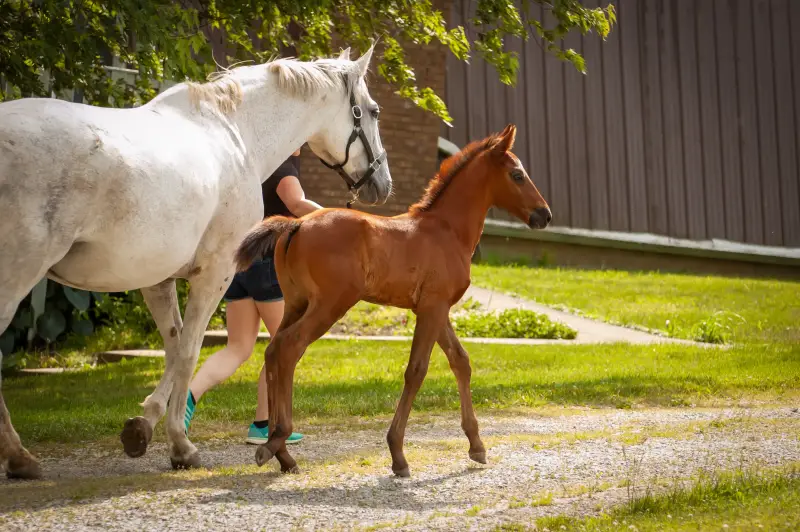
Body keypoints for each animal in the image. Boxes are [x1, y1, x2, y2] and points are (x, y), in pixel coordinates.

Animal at [0, 46, 391, 479]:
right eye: (373, 111)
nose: (383, 184)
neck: (236, 132)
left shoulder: (156, 279)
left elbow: (173, 347)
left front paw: (143, 426)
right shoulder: (215, 274)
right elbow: (190, 350)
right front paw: (181, 445)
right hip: (15, 278)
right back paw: (19, 457)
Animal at [234, 124, 551, 477]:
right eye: (517, 175)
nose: (545, 215)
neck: (446, 230)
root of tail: (297, 224)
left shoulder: (436, 309)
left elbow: (461, 361)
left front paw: (477, 446)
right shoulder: (432, 308)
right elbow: (417, 370)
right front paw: (398, 454)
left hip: (295, 303)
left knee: (273, 350)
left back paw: (283, 454)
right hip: (330, 304)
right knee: (290, 348)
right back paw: (276, 442)